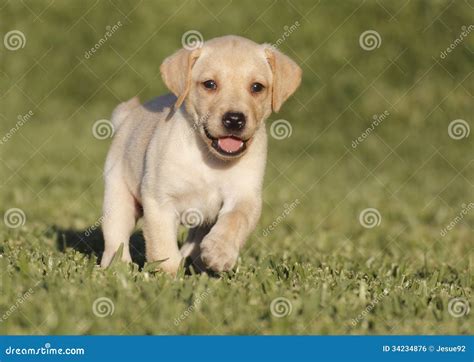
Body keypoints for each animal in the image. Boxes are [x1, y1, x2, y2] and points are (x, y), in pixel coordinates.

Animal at [101, 36, 300, 274]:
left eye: (257, 87)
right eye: (210, 84)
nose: (234, 119)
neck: (210, 158)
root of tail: (129, 114)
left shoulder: (245, 195)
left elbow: (235, 219)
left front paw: (219, 252)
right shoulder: (159, 200)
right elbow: (162, 245)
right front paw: (168, 276)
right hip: (118, 196)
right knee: (116, 237)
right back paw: (117, 268)